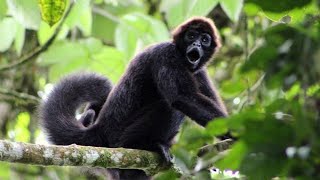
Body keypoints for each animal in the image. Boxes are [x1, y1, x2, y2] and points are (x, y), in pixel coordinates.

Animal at [40, 17, 229, 180]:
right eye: (191, 36)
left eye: (204, 39)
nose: (196, 44)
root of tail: (100, 130)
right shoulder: (166, 54)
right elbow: (183, 98)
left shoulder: (199, 71)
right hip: (122, 137)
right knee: (168, 106)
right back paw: (149, 145)